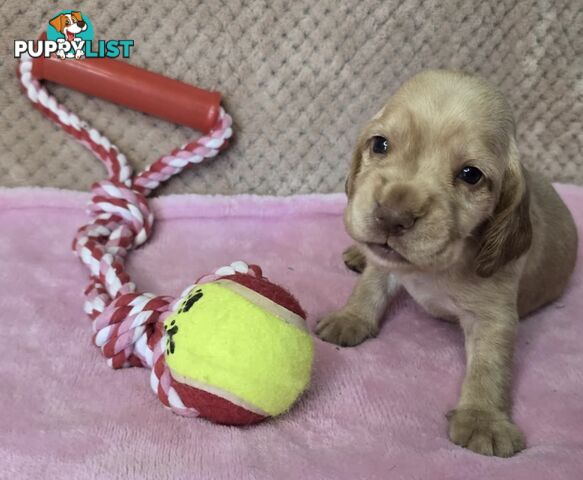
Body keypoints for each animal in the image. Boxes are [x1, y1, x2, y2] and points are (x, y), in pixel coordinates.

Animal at [320, 70, 580, 458]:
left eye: (471, 175)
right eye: (380, 145)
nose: (392, 216)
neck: (433, 267)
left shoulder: (494, 317)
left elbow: (489, 367)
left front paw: (482, 418)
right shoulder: (385, 264)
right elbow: (370, 285)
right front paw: (350, 318)